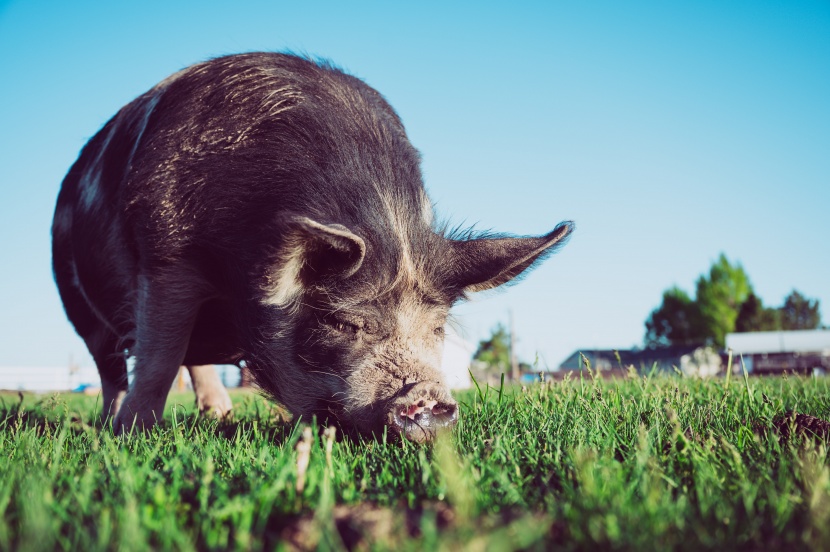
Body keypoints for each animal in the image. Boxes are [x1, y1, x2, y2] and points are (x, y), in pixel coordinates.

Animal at [50, 49, 572, 442]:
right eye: (341, 322)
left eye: (439, 327)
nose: (426, 401)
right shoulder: (165, 254)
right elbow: (160, 353)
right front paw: (134, 436)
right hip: (75, 302)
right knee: (114, 365)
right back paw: (110, 425)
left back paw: (218, 415)